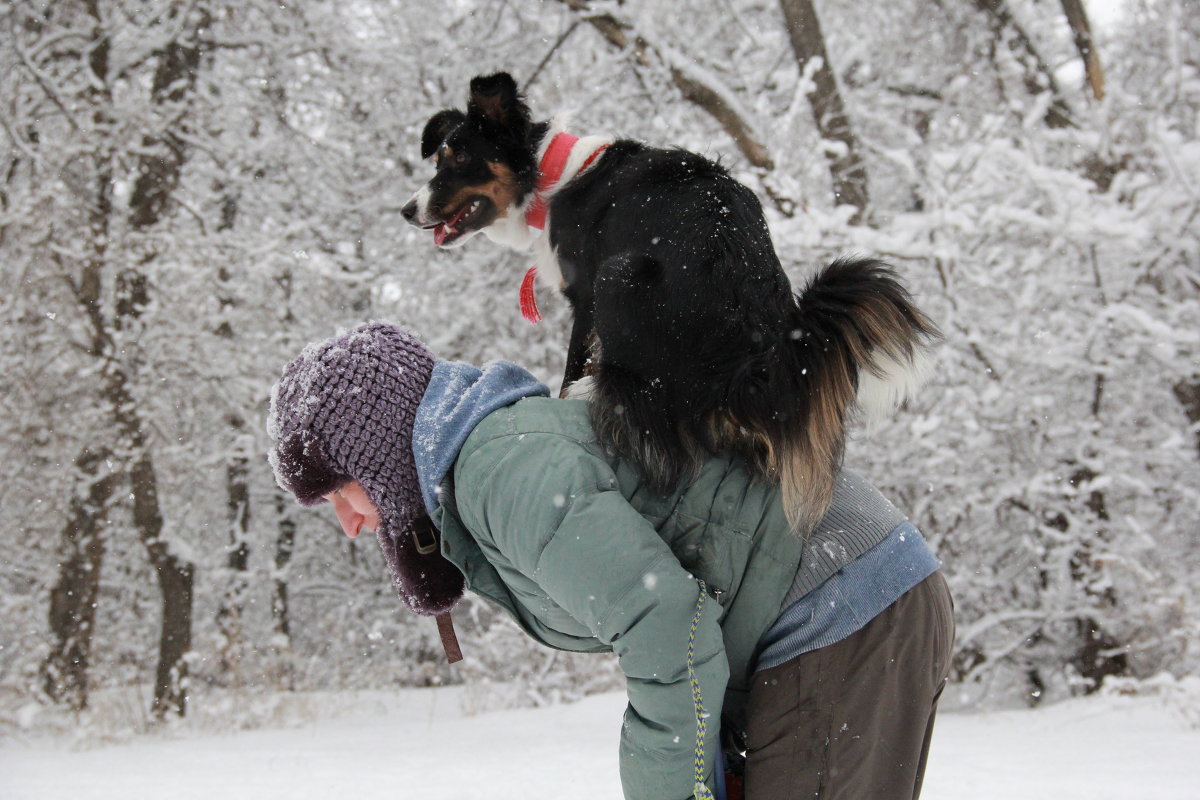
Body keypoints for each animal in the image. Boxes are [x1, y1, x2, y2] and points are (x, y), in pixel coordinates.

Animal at [403, 70, 936, 532]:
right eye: (440, 157)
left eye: (459, 159)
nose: (407, 210)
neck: (547, 176)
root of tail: (748, 364)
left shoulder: (585, 299)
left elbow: (573, 365)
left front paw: (568, 391)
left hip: (619, 276)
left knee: (655, 428)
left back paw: (600, 397)